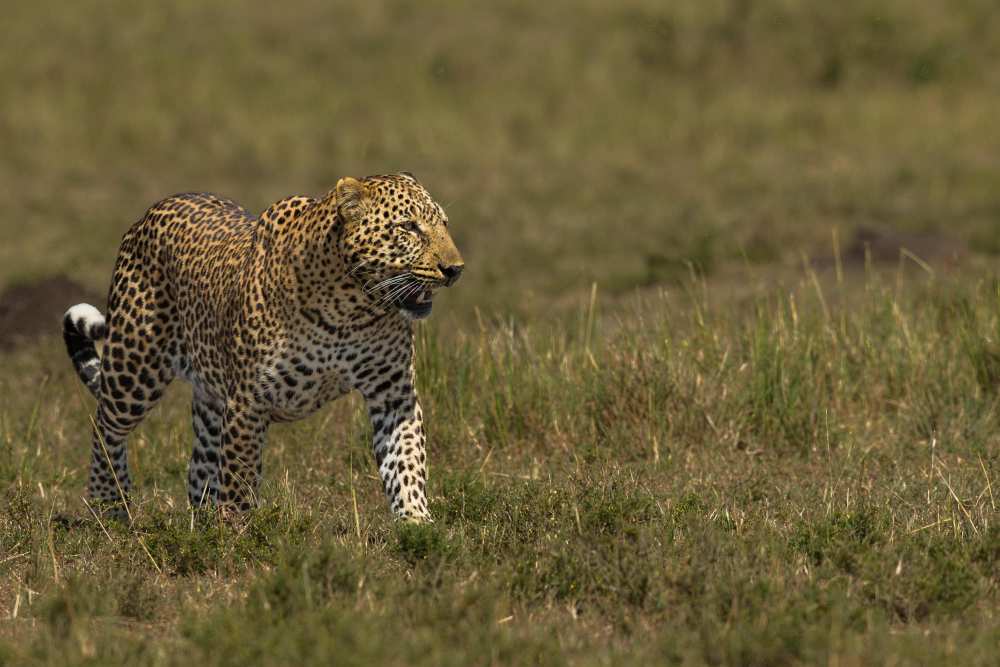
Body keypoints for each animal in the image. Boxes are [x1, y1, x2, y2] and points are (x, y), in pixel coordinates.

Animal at [62, 172, 464, 523]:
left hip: (210, 396)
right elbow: (240, 476)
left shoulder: (394, 394)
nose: (455, 269)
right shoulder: (248, 401)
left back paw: (201, 523)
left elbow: (406, 460)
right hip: (135, 367)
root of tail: (149, 213)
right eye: (409, 227)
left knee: (199, 467)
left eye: (444, 224)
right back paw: (110, 507)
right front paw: (238, 536)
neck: (351, 307)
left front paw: (416, 523)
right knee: (105, 427)